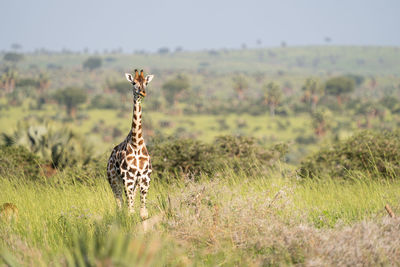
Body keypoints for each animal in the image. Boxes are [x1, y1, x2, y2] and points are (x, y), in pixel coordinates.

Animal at [107, 70, 154, 221]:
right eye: (134, 83)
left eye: (146, 82)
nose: (143, 92)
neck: (136, 143)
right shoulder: (127, 178)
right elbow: (131, 212)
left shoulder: (145, 178)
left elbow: (143, 213)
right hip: (114, 181)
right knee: (120, 204)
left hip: (133, 184)